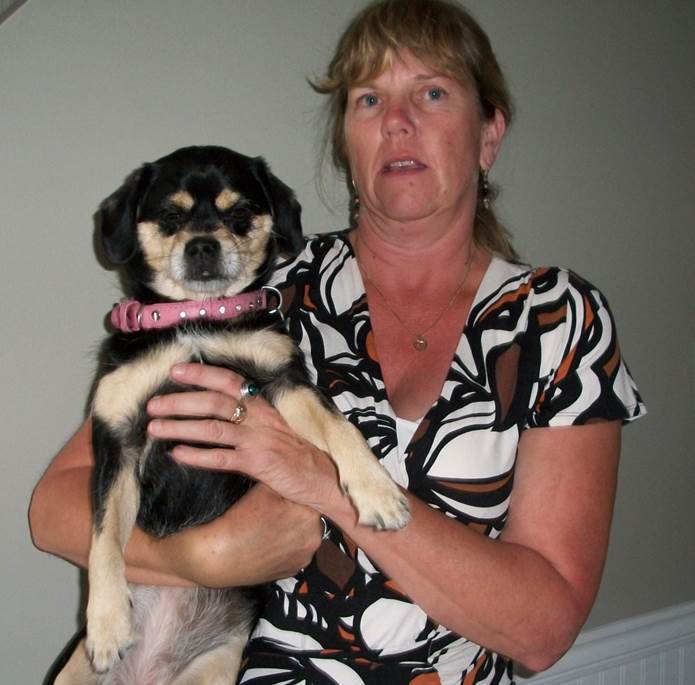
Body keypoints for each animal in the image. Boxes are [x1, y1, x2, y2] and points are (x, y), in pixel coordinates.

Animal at [50, 145, 410, 684]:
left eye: (239, 214)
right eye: (171, 216)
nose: (202, 246)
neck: (197, 321)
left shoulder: (285, 381)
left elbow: (340, 428)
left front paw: (377, 493)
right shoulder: (117, 439)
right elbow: (104, 537)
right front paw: (109, 623)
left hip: (216, 667)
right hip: (71, 673)